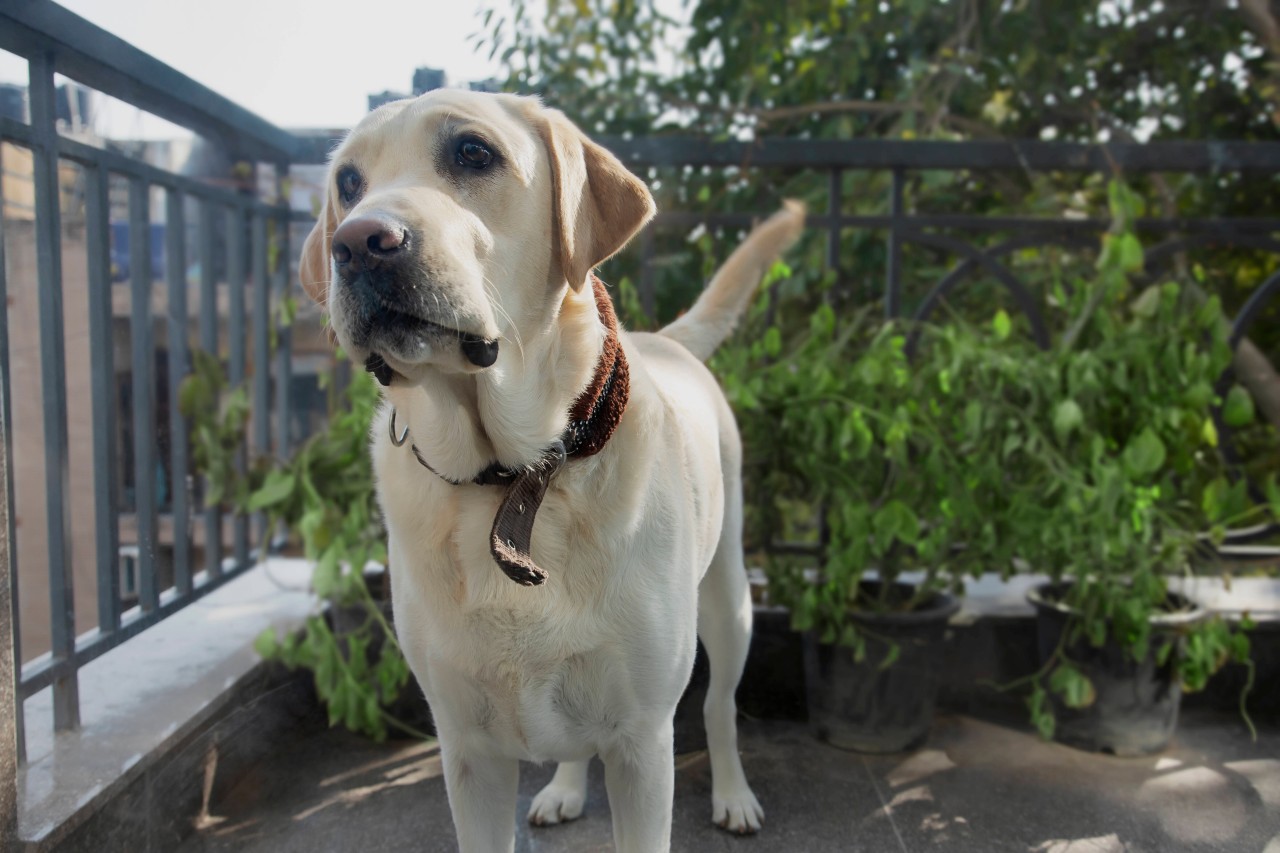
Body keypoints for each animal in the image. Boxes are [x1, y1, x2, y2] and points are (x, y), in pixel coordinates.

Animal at [296, 89, 798, 845]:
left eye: (474, 153)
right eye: (347, 184)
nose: (355, 242)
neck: (515, 479)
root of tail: (667, 340)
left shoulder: (642, 745)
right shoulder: (467, 754)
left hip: (729, 598)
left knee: (719, 707)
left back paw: (734, 794)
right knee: (574, 742)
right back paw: (563, 788)